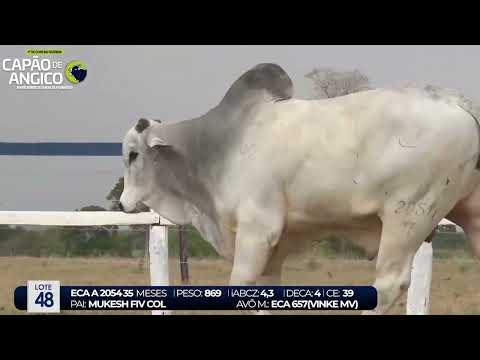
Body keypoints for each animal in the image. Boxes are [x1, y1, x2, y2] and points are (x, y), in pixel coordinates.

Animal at [119, 64, 480, 316]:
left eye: (133, 154)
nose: (123, 202)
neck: (219, 146)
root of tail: (457, 101)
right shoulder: (273, 250)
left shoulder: (257, 231)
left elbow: (239, 286)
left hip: (407, 217)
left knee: (389, 284)